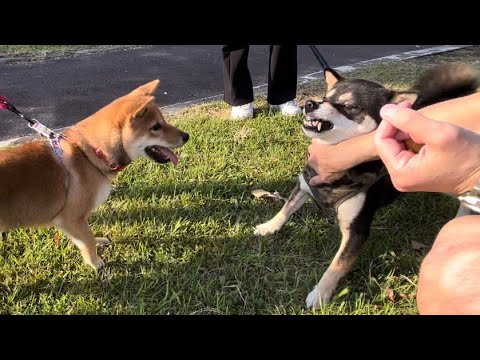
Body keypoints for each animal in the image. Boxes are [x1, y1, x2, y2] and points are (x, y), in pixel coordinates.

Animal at [255, 63, 480, 308]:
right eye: (326, 98)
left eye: (348, 106)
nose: (310, 103)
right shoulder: (304, 185)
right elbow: (286, 208)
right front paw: (269, 226)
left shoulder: (357, 229)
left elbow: (337, 265)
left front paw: (320, 294)